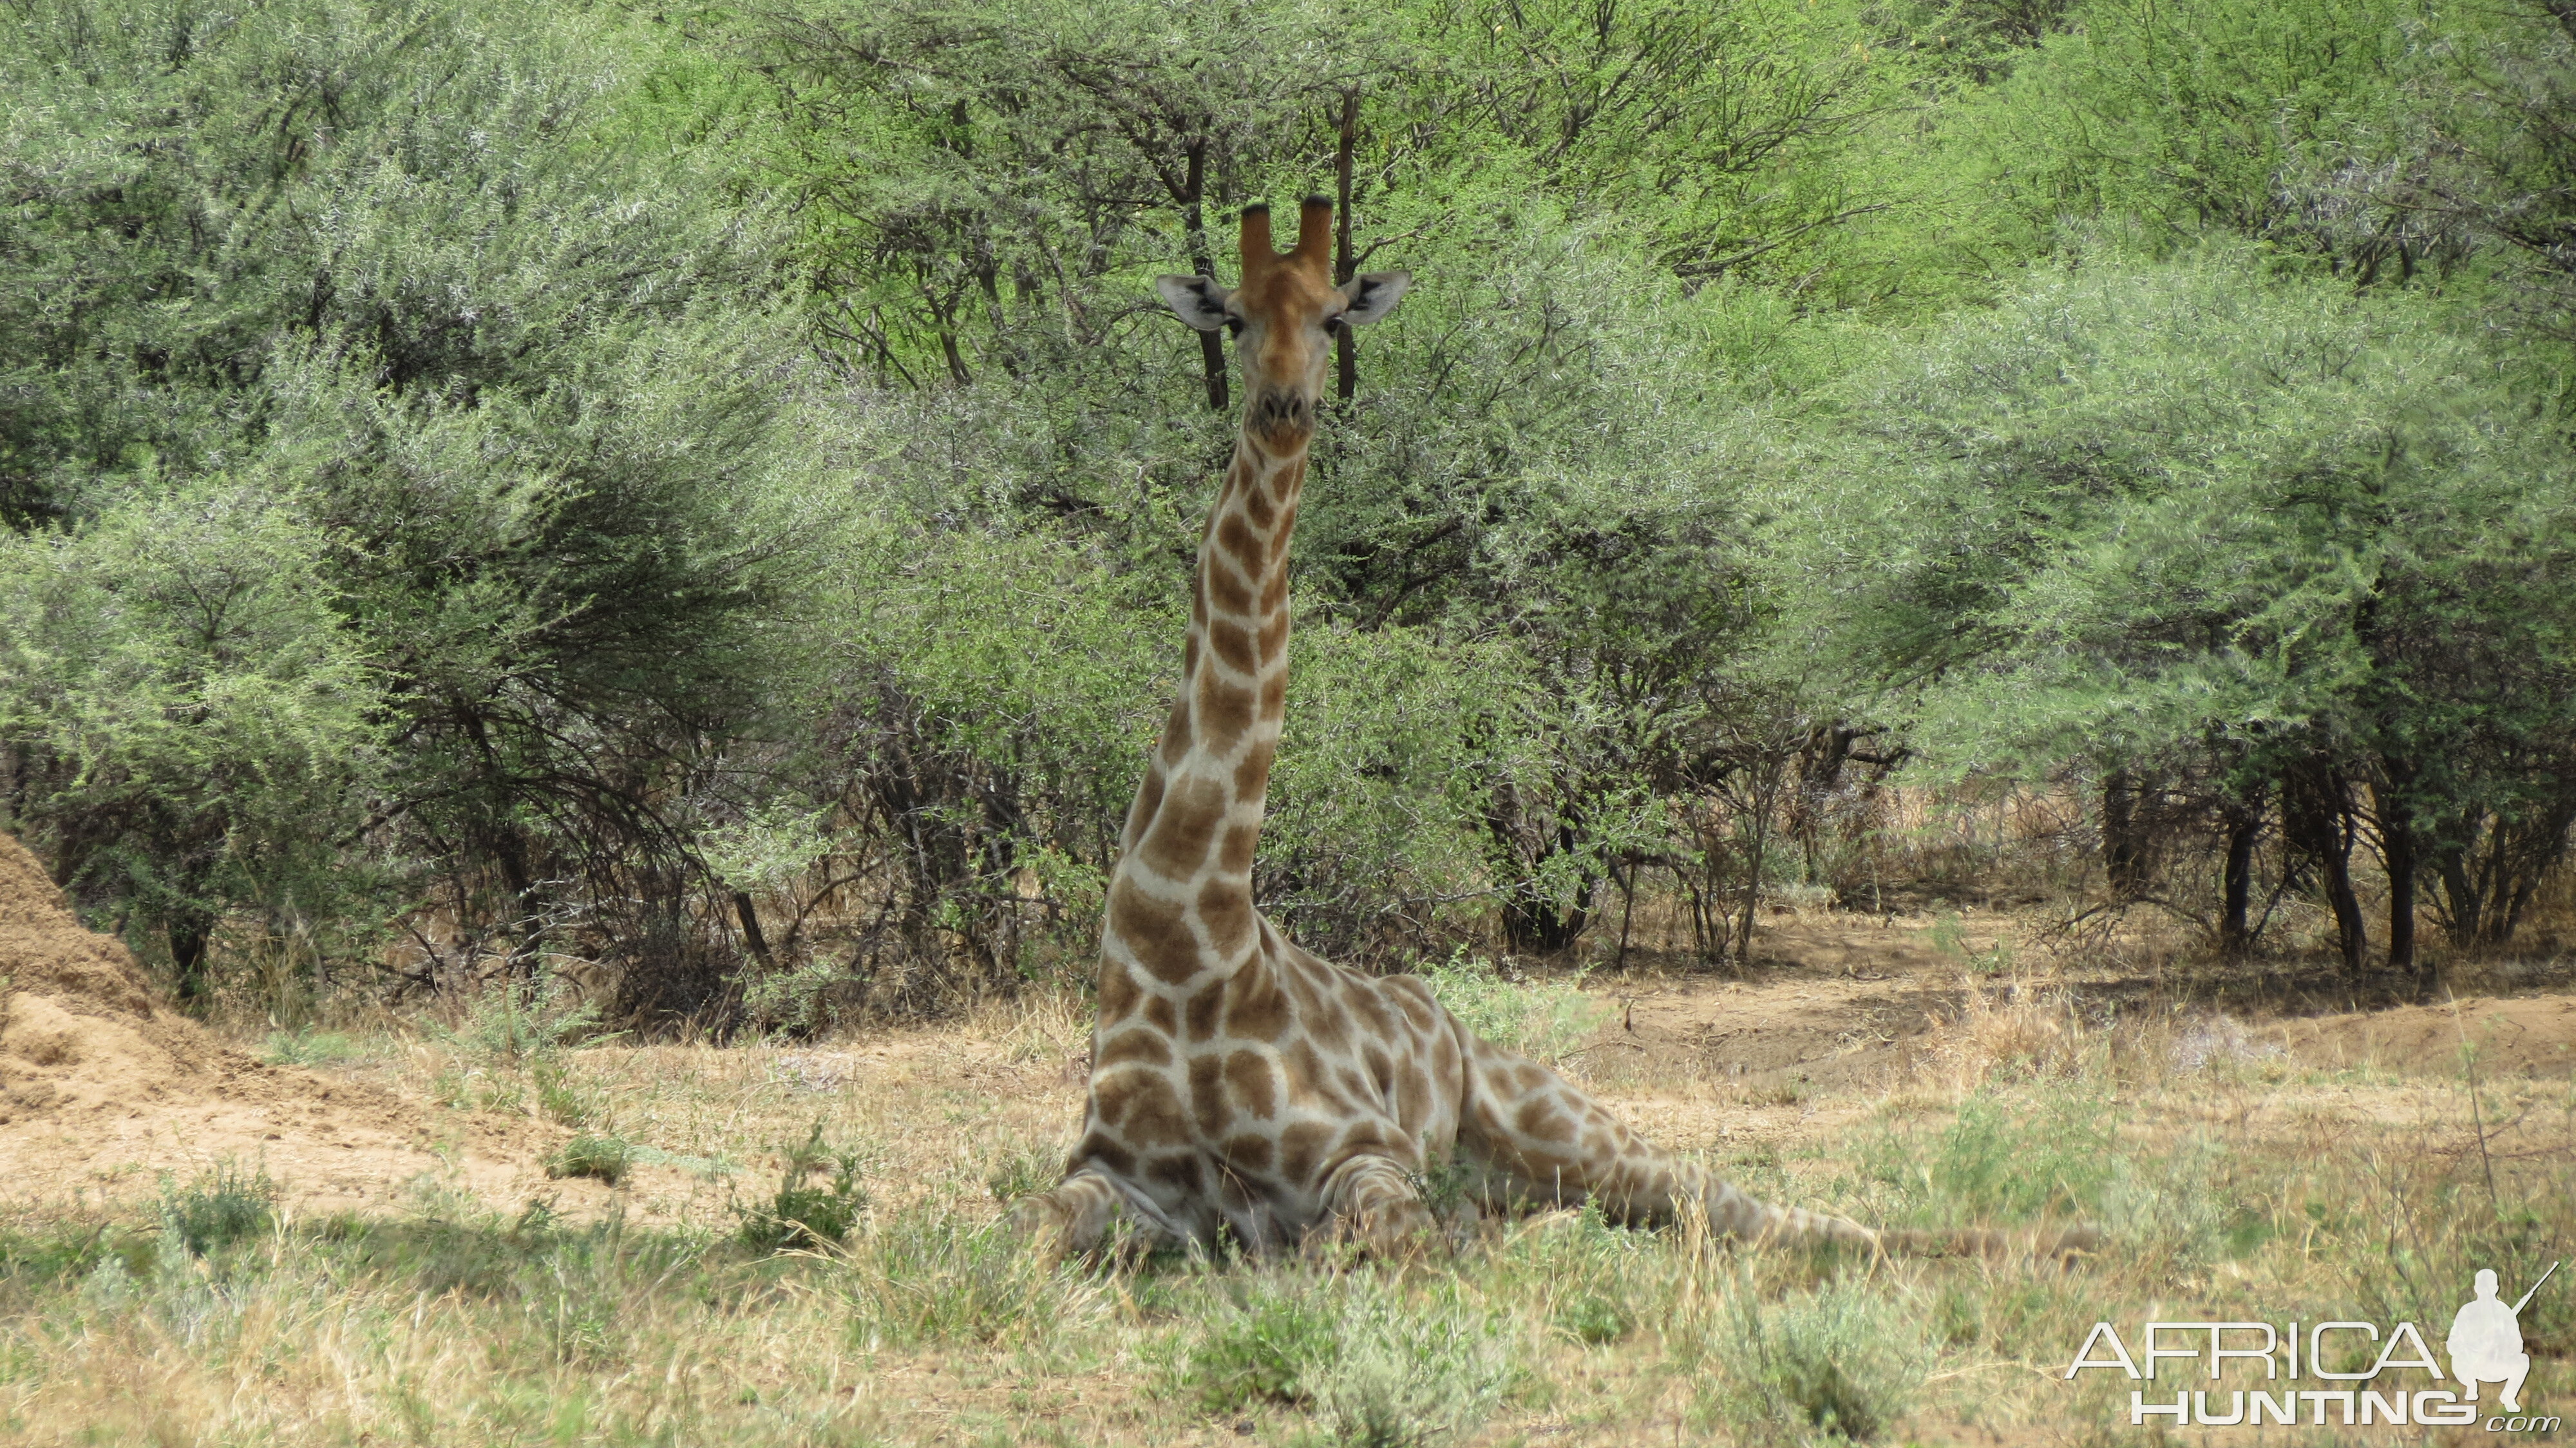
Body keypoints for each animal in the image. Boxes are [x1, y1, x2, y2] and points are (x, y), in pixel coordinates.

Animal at [1005, 197, 2071, 1257]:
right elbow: (1008, 1242)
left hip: (1562, 1120)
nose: (1283, 407)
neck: (1186, 935)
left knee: (1747, 1207)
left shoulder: (1363, 1153)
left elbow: (1391, 1242)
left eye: (1335, 318)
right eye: (1232, 318)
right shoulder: (1113, 1177)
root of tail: (1442, 1014)